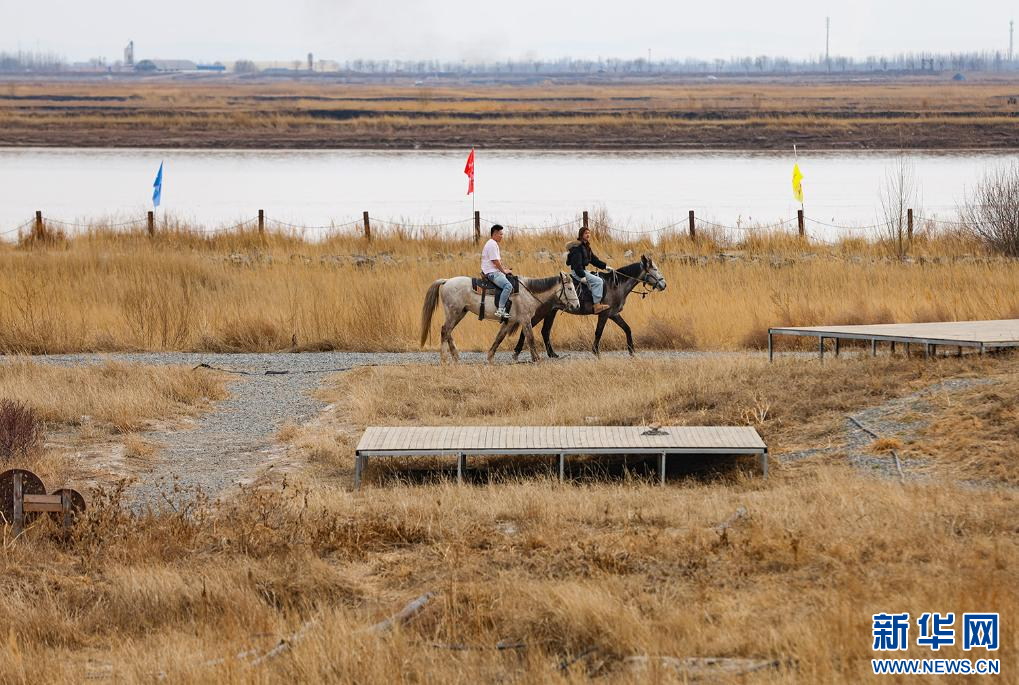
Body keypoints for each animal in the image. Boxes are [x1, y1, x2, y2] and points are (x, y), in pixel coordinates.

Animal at [420, 272, 580, 363]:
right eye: (570, 288)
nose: (577, 306)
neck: (528, 292)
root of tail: (446, 281)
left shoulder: (510, 321)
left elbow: (499, 337)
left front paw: (490, 356)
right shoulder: (525, 320)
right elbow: (530, 338)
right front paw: (536, 359)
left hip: (459, 313)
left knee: (448, 332)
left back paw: (456, 356)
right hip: (454, 313)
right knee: (444, 331)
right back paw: (444, 359)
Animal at [512, 254, 667, 359]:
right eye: (655, 269)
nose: (664, 285)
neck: (616, 285)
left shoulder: (613, 314)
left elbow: (627, 329)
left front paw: (632, 351)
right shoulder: (604, 314)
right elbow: (599, 332)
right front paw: (596, 352)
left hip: (551, 312)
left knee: (545, 331)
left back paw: (552, 354)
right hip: (540, 313)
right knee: (527, 328)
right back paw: (517, 351)